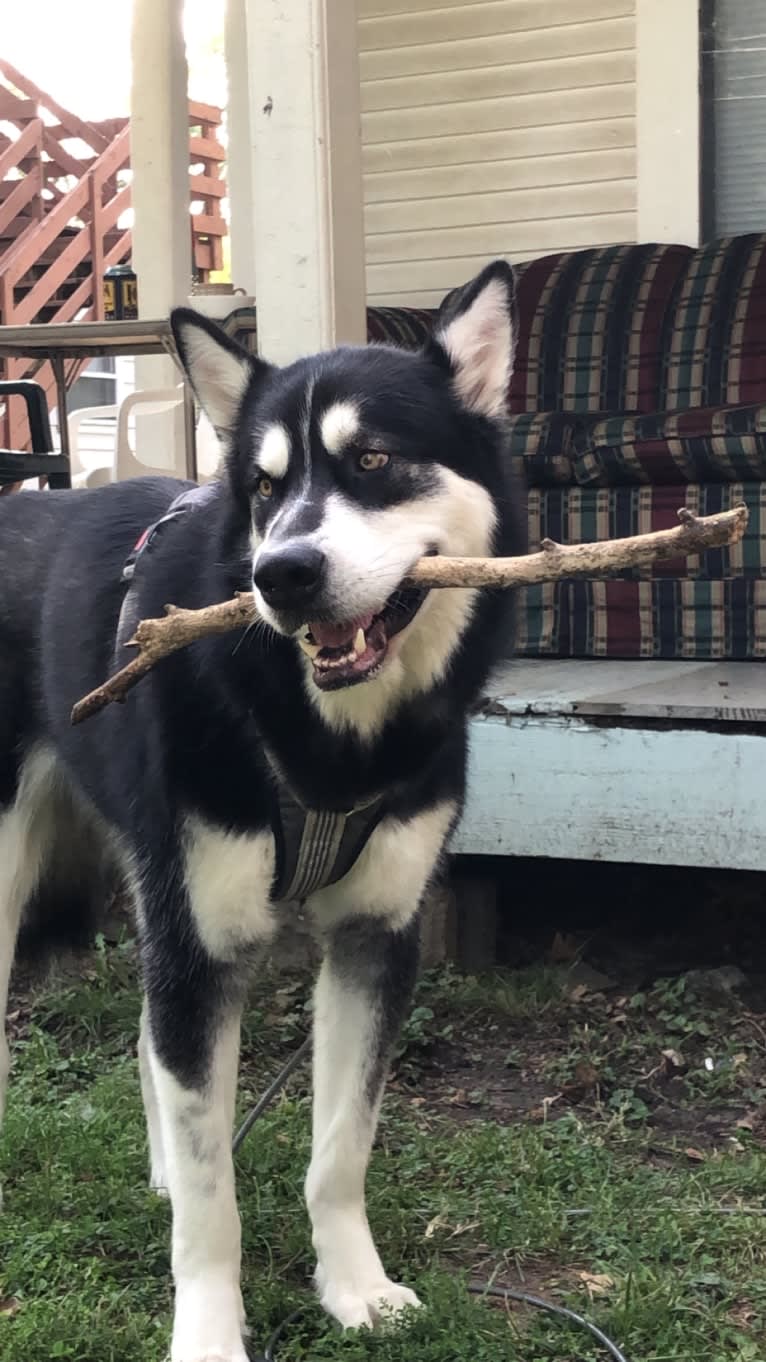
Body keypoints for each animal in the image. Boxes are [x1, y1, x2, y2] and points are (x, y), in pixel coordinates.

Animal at [0, 260, 520, 1356]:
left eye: (373, 459)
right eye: (266, 489)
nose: (280, 574)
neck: (321, 742)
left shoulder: (373, 940)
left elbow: (339, 1150)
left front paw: (354, 1286)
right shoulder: (203, 949)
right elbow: (214, 1203)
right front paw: (206, 1330)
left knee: (148, 1042)